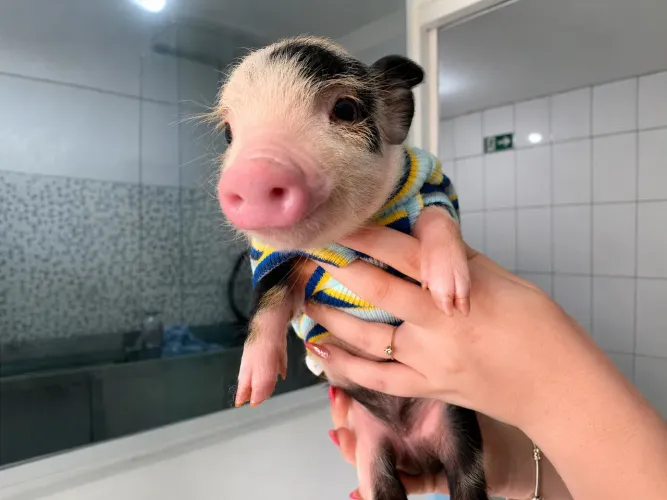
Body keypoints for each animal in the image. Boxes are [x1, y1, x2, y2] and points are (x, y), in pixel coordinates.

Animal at [215, 36, 487, 500]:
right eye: (230, 133)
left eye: (346, 109)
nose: (252, 174)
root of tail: (414, 448)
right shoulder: (272, 256)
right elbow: (268, 298)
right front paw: (251, 393)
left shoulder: (429, 185)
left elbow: (438, 219)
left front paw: (450, 298)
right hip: (369, 443)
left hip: (458, 425)